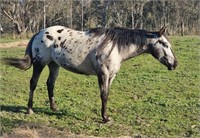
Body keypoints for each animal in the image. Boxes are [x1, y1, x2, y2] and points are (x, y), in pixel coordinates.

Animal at [3, 26, 177, 123]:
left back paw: (54, 108)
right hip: (40, 64)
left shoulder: (111, 76)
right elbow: (103, 95)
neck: (115, 47)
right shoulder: (103, 74)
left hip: (54, 65)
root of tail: (39, 33)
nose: (174, 64)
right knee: (33, 83)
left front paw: (106, 116)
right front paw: (105, 118)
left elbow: (107, 94)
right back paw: (30, 109)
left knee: (50, 84)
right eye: (165, 44)